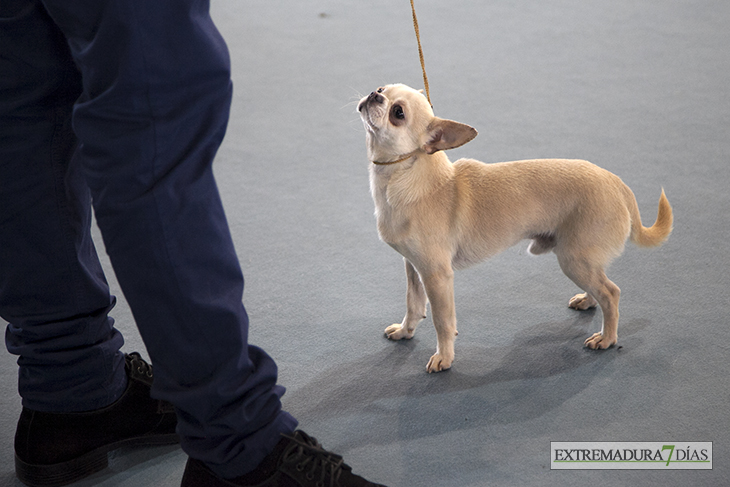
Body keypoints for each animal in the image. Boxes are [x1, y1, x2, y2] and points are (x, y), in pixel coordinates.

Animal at [356, 84, 668, 374]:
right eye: (382, 88)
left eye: (398, 113)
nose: (374, 94)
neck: (403, 175)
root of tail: (617, 183)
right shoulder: (414, 267)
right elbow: (414, 304)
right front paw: (405, 331)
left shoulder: (436, 276)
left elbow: (442, 321)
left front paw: (444, 357)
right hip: (583, 260)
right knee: (600, 287)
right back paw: (588, 302)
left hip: (573, 260)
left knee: (611, 293)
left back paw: (607, 338)